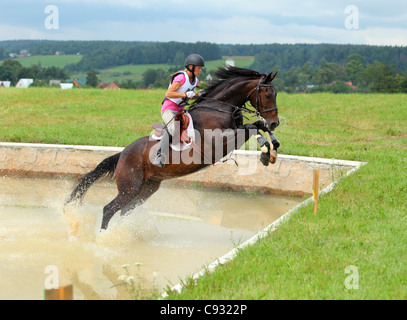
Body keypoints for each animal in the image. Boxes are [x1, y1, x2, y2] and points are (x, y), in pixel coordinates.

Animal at [65, 65, 280, 230]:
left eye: (275, 94)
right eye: (267, 94)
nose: (275, 122)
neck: (219, 108)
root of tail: (122, 154)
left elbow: (258, 126)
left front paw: (273, 149)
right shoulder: (220, 143)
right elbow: (252, 128)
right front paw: (265, 152)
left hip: (148, 187)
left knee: (125, 210)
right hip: (130, 187)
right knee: (109, 209)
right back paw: (102, 238)